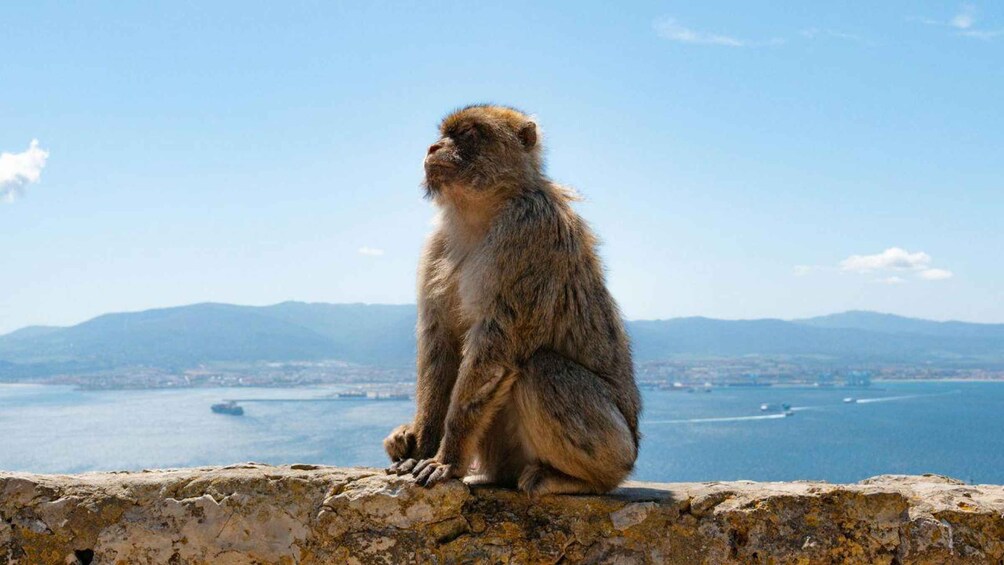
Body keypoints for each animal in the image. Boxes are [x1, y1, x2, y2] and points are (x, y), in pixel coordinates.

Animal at [383, 104, 640, 496]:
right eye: (444, 135)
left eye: (468, 134)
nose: (433, 148)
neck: (482, 212)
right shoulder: (435, 246)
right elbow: (439, 343)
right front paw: (420, 446)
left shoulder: (529, 229)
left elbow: (496, 348)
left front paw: (447, 459)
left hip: (616, 448)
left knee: (541, 369)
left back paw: (577, 480)